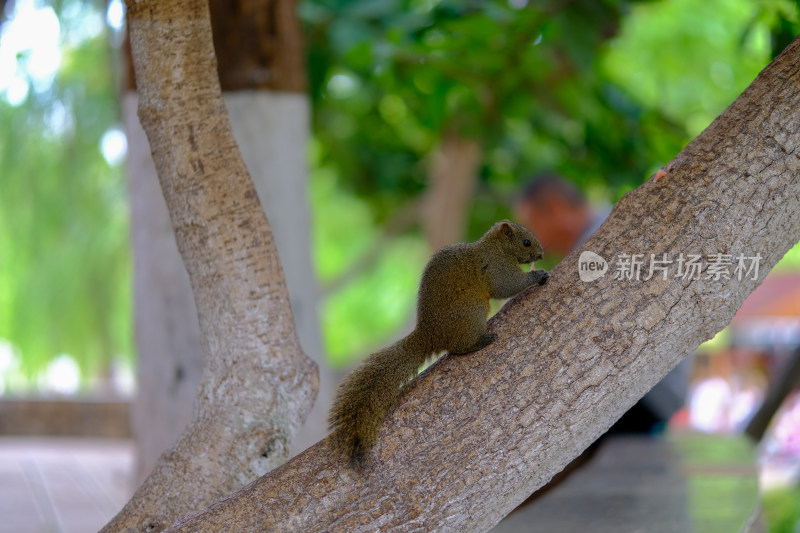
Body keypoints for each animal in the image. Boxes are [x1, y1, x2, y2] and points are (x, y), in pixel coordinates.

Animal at [326, 219, 552, 466]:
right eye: (526, 242)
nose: (541, 255)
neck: (496, 248)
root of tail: (429, 335)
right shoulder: (496, 268)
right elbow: (507, 286)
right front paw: (538, 276)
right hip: (472, 312)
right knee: (459, 348)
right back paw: (481, 341)